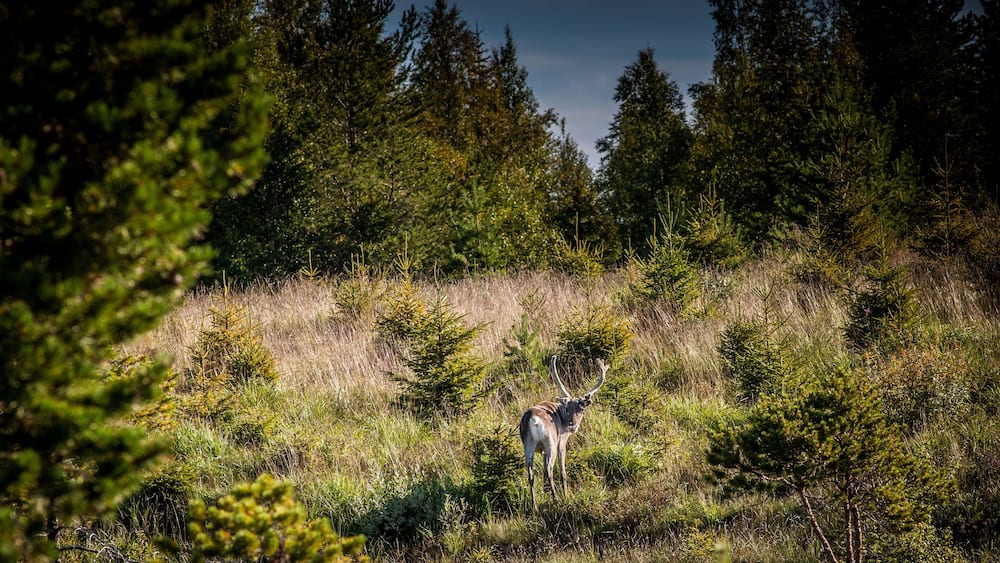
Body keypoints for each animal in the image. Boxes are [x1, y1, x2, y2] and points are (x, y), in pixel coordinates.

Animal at [520, 356, 608, 509]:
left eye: (581, 409)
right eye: (568, 409)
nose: (573, 425)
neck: (561, 415)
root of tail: (533, 419)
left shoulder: (542, 450)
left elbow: (543, 470)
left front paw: (545, 491)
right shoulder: (562, 441)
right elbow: (562, 471)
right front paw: (566, 494)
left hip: (528, 444)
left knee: (531, 473)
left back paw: (534, 506)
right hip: (551, 443)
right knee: (550, 469)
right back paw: (556, 500)